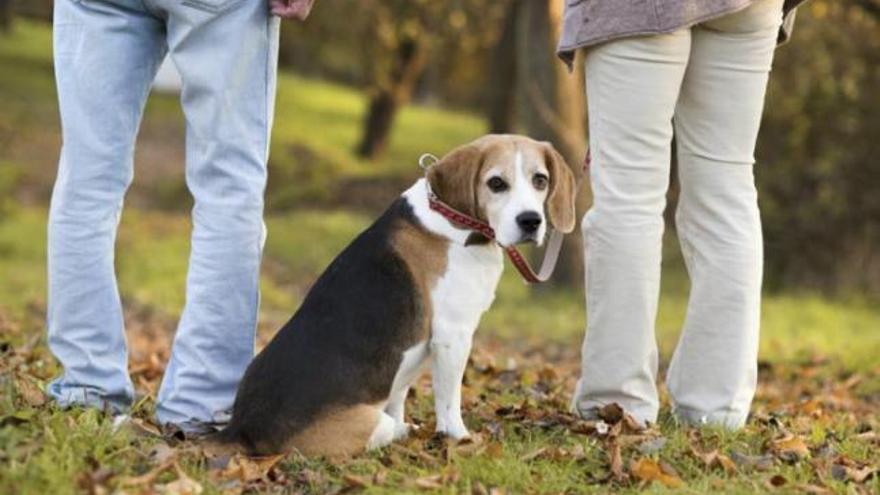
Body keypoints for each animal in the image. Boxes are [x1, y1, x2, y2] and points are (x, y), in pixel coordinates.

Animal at [207, 135, 576, 458]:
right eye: (496, 183)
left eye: (540, 180)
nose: (530, 221)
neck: (451, 218)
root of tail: (242, 428)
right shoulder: (453, 335)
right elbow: (449, 400)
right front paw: (458, 438)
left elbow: (399, 395)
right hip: (369, 422)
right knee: (390, 428)